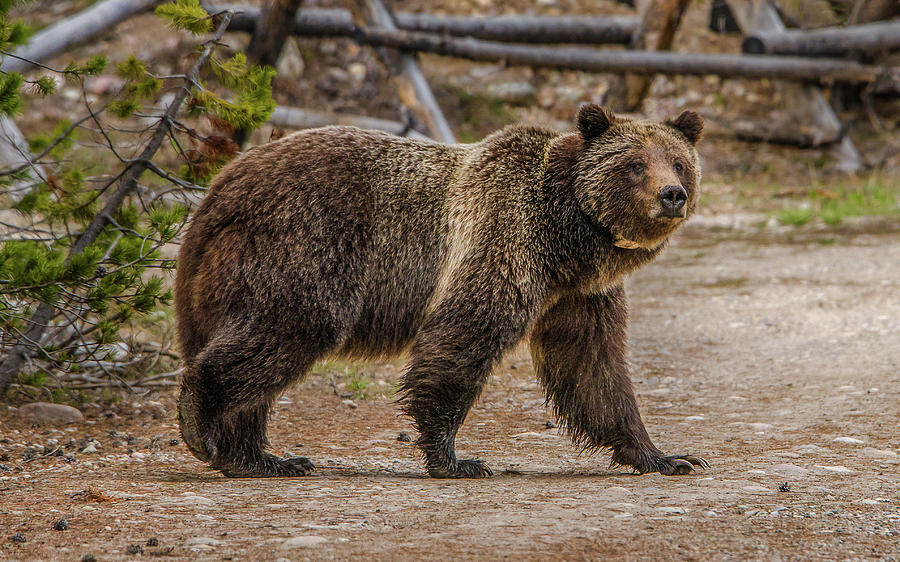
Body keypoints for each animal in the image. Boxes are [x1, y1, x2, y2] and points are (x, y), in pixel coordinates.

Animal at [174, 104, 712, 476]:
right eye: (635, 164)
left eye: (678, 162)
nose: (673, 195)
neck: (568, 238)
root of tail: (219, 190)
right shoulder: (505, 238)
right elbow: (464, 336)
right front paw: (454, 459)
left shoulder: (580, 295)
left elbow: (593, 368)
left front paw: (666, 456)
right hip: (304, 244)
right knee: (289, 327)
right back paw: (201, 424)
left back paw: (260, 458)